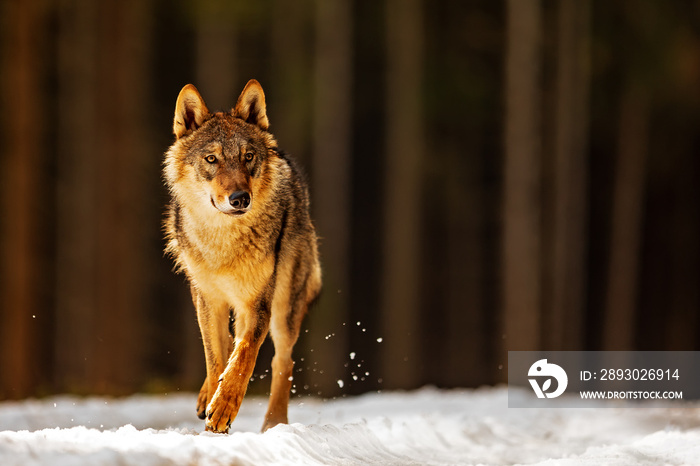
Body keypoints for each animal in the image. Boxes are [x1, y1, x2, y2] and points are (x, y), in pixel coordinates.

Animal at [163, 79, 322, 434]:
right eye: (211, 159)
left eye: (247, 157)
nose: (239, 198)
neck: (225, 241)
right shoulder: (207, 299)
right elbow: (215, 358)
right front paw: (213, 405)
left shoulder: (258, 302)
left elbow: (245, 355)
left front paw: (224, 406)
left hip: (284, 308)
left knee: (282, 359)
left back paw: (274, 422)